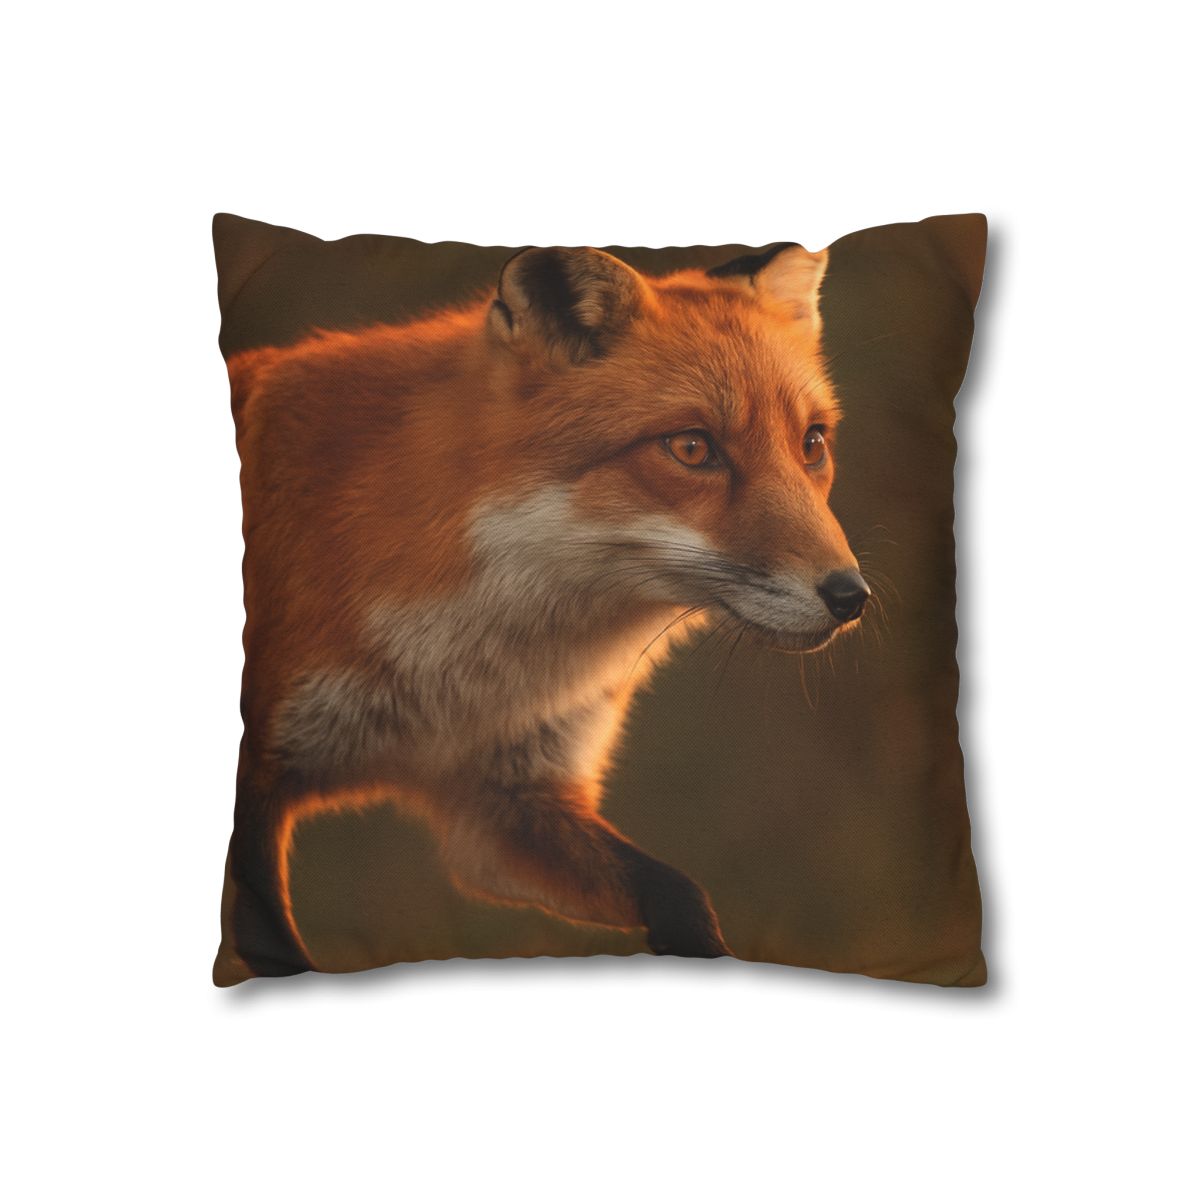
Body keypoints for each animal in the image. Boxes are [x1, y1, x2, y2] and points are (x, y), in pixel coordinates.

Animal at [218, 241, 871, 982]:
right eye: (692, 448)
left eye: (812, 443)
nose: (850, 597)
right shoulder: (257, 786)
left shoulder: (505, 806)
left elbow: (682, 897)